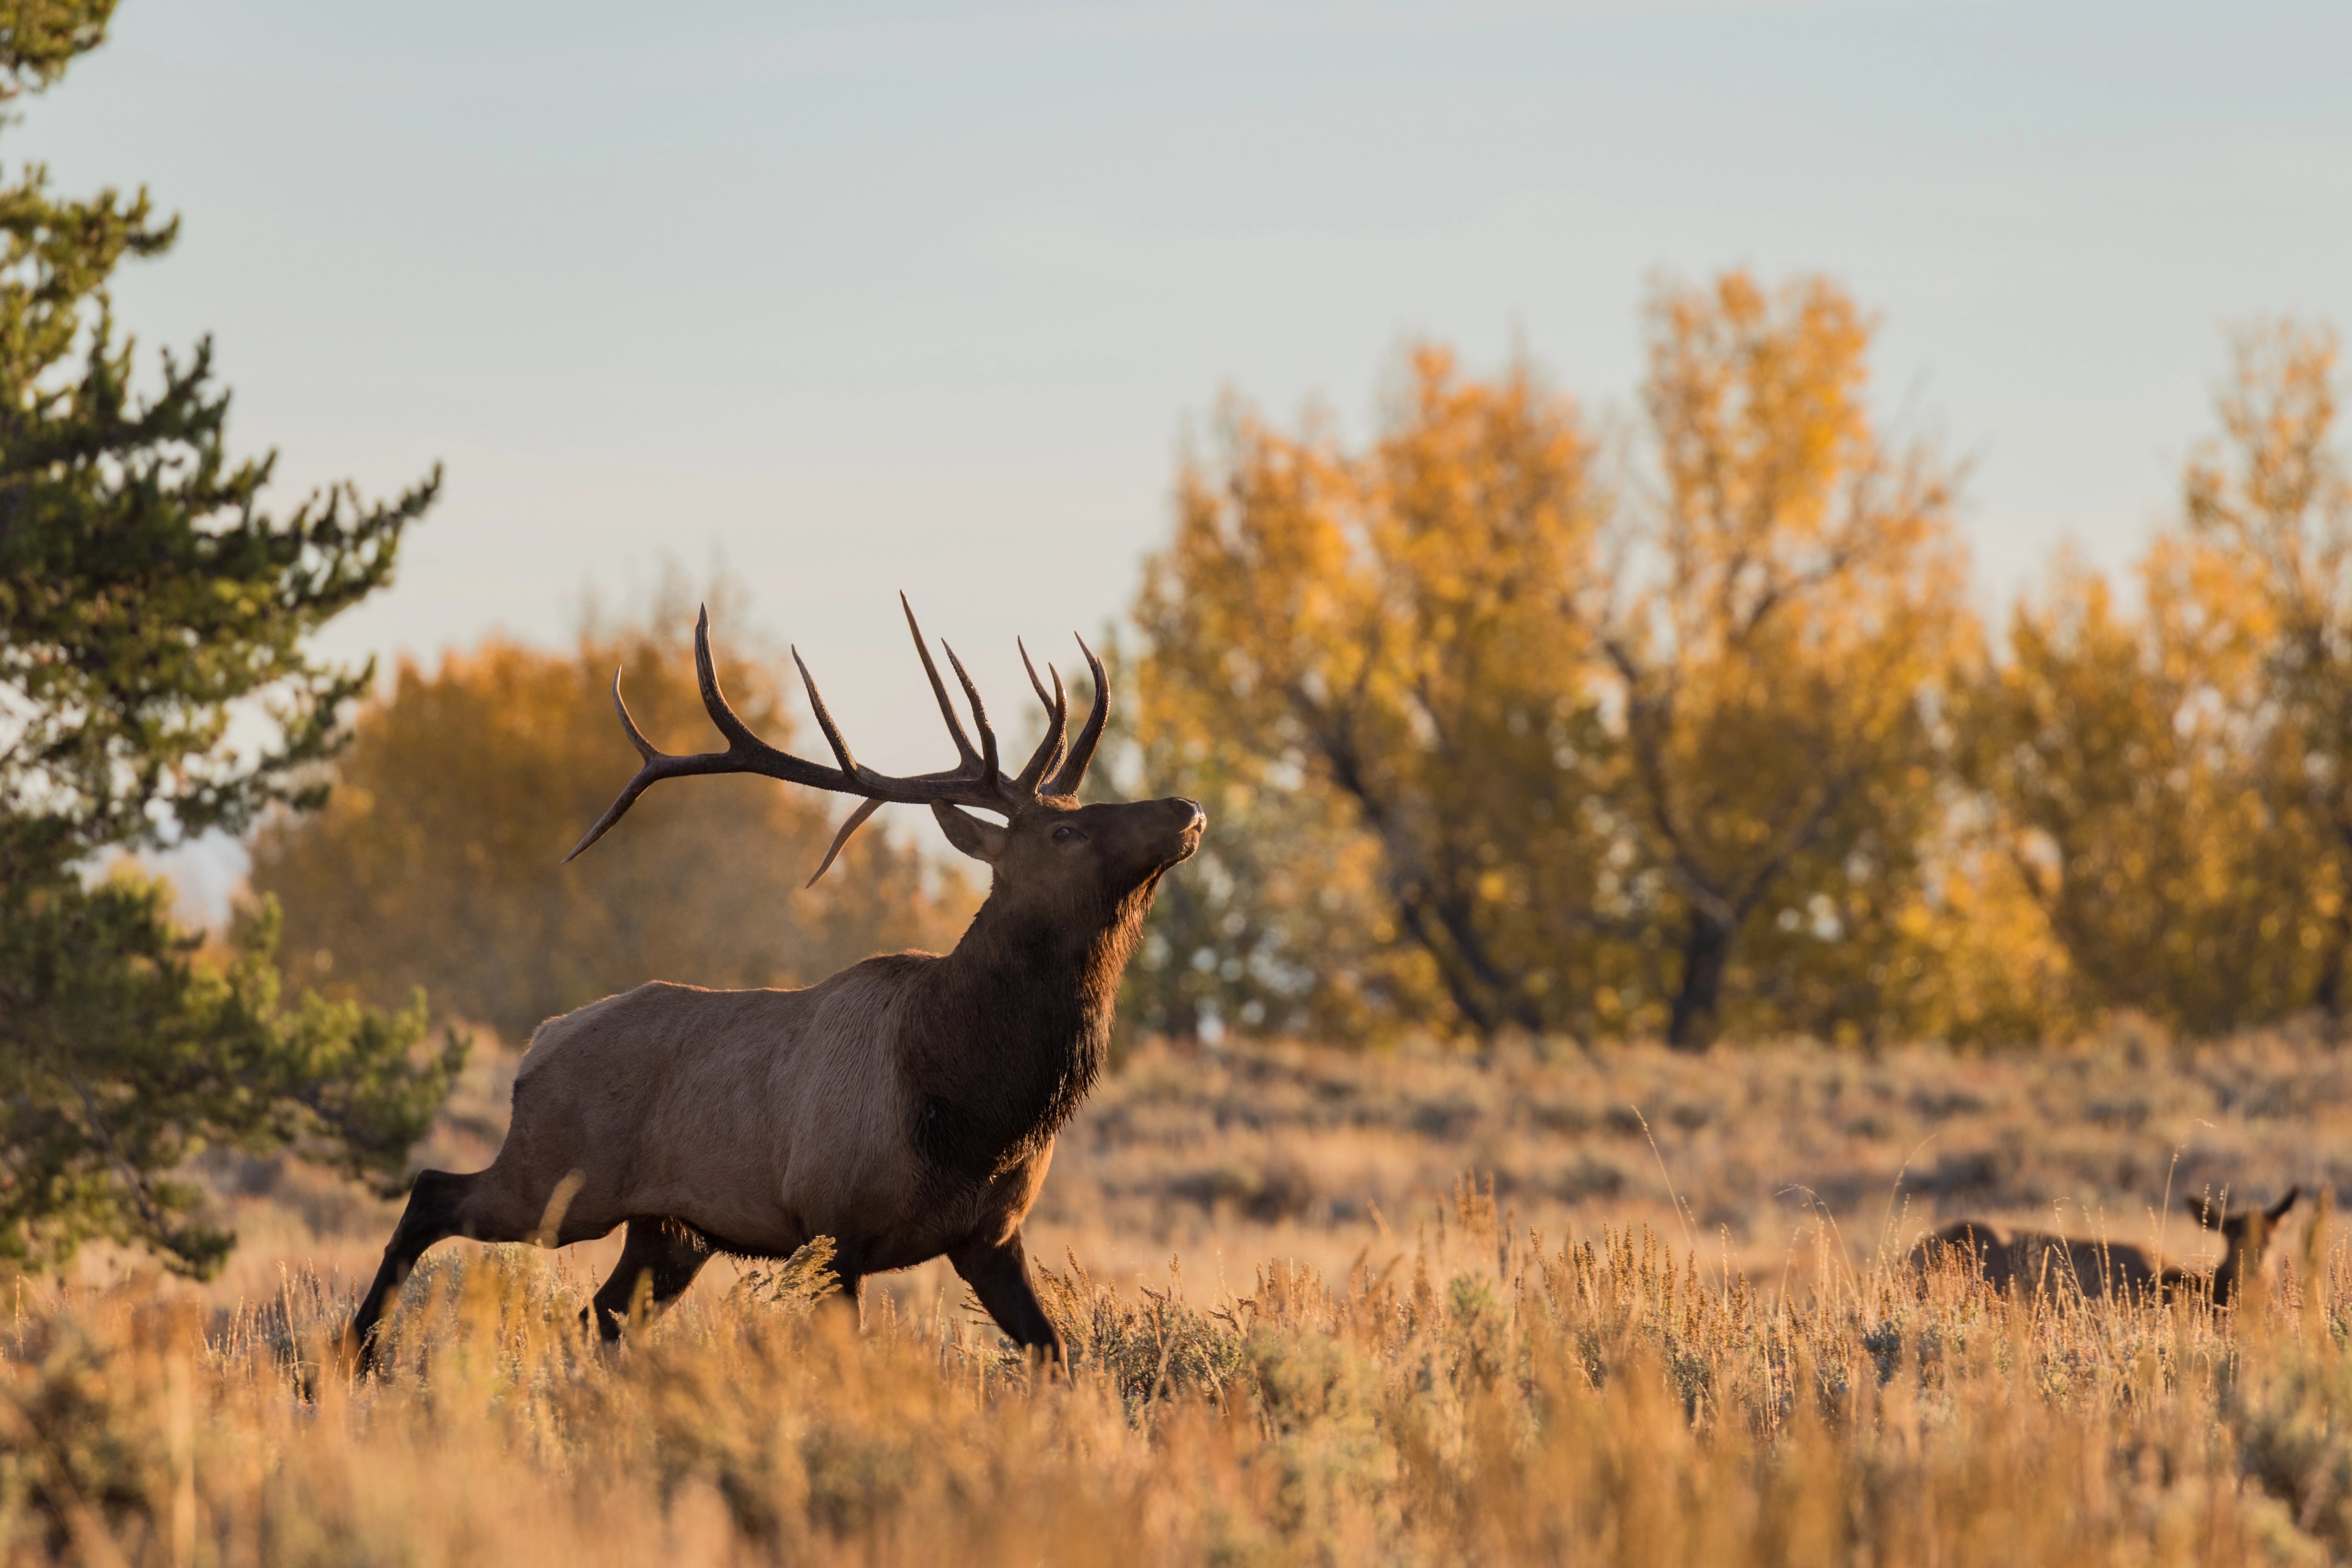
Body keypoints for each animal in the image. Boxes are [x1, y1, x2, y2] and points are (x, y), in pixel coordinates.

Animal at [343, 597, 1205, 1371]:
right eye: (1065, 829)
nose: (1187, 805)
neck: (970, 1105)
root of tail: (536, 1045)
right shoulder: (834, 1228)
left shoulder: (991, 1237)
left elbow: (1056, 1355)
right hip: (556, 1178)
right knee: (431, 1192)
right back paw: (350, 1359)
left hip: (665, 1230)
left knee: (594, 1317)